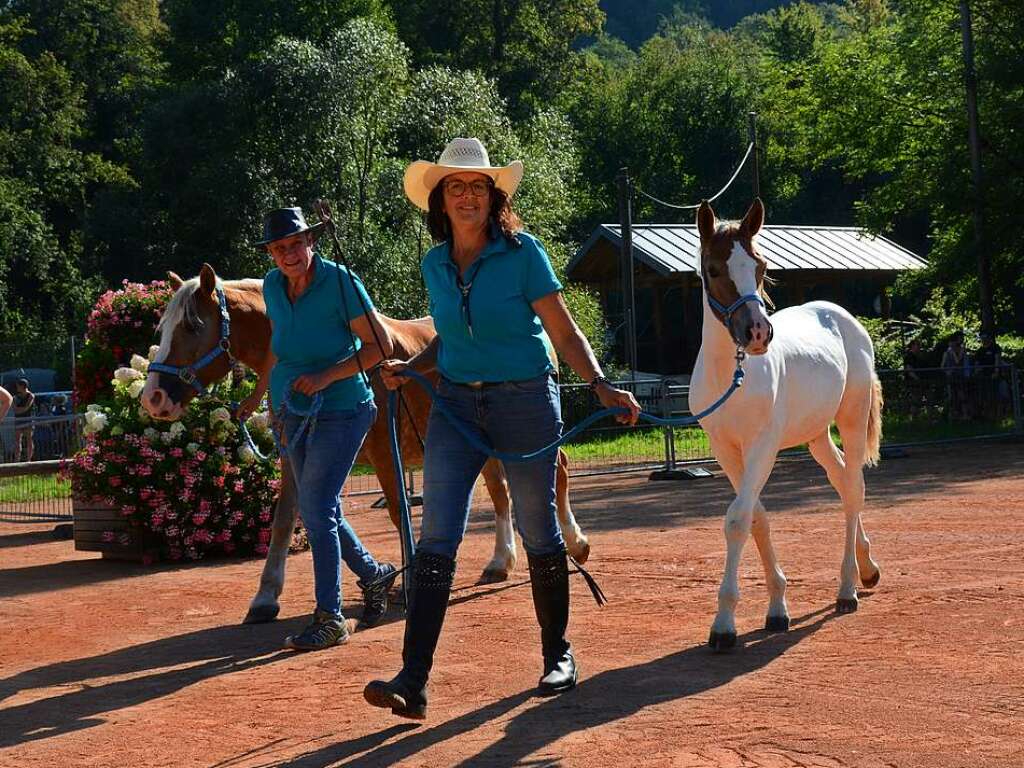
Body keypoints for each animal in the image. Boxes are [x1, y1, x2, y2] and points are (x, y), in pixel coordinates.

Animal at [144, 264, 593, 626]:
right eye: (162, 330)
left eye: (191, 326)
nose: (153, 398)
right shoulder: (297, 458)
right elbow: (288, 518)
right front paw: (266, 596)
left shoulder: (382, 453)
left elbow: (398, 513)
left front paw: (408, 585)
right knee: (501, 491)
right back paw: (500, 561)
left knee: (558, 467)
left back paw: (575, 543)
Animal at [692, 198, 884, 651]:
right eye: (714, 270)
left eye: (760, 266)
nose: (758, 332)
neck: (731, 376)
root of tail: (844, 317)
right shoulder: (726, 450)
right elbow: (756, 517)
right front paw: (777, 607)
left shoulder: (762, 447)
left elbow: (738, 520)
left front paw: (724, 624)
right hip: (817, 436)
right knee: (842, 482)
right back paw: (867, 567)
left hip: (851, 421)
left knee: (853, 491)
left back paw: (847, 588)